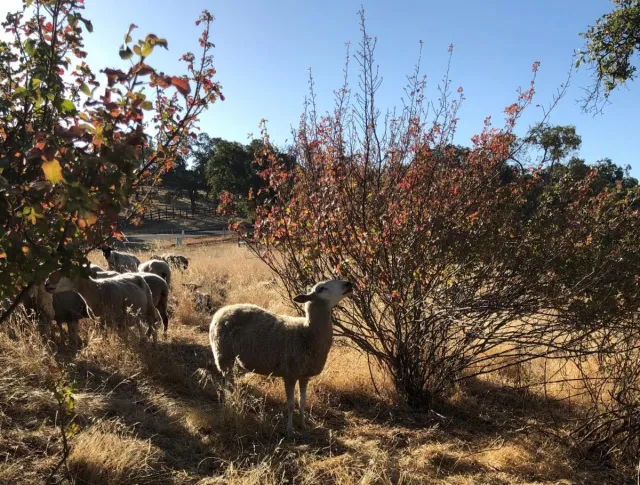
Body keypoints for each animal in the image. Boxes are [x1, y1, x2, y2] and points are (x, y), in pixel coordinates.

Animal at [210, 279, 353, 438]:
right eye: (322, 288)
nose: (348, 284)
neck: (306, 332)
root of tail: (222, 311)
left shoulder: (304, 375)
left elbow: (302, 401)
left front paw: (303, 425)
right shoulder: (289, 374)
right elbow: (290, 405)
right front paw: (290, 430)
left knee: (228, 382)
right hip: (223, 354)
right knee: (225, 383)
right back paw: (228, 404)